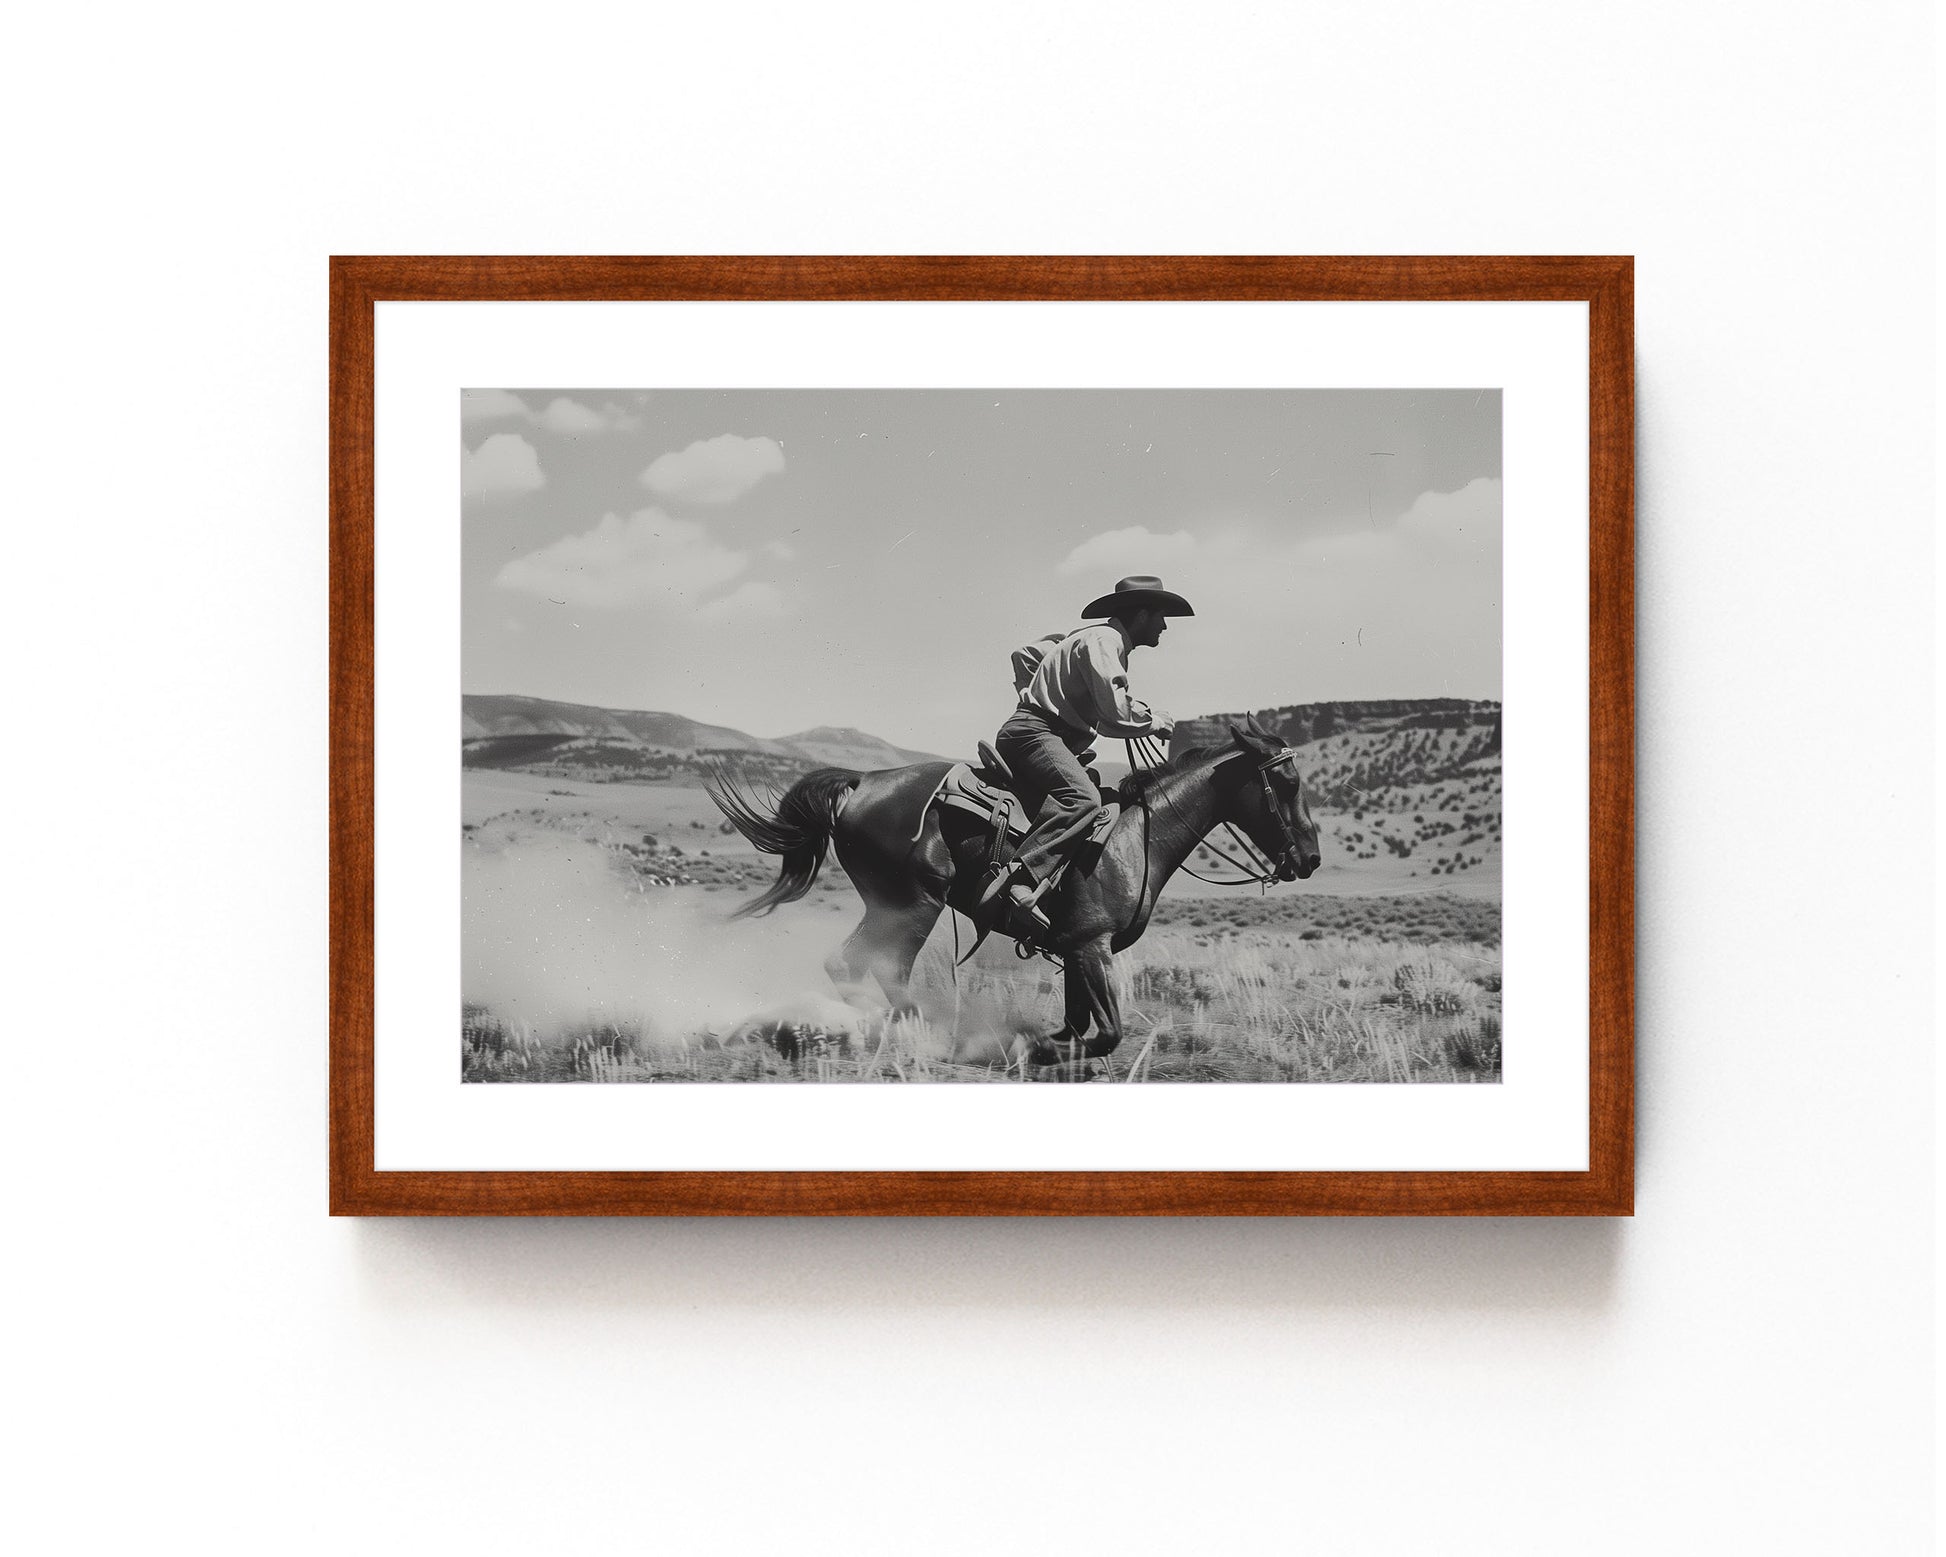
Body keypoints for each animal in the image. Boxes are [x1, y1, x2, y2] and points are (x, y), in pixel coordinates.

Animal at [704, 720, 1323, 1074]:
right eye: (1288, 782)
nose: (1310, 859)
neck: (1137, 837)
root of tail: (861, 782)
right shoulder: (1093, 946)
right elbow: (1105, 1034)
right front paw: (1034, 1049)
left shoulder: (1074, 949)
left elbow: (1078, 1026)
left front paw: (1046, 1049)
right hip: (913, 903)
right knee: (872, 964)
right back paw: (920, 1033)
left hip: (893, 904)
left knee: (850, 964)